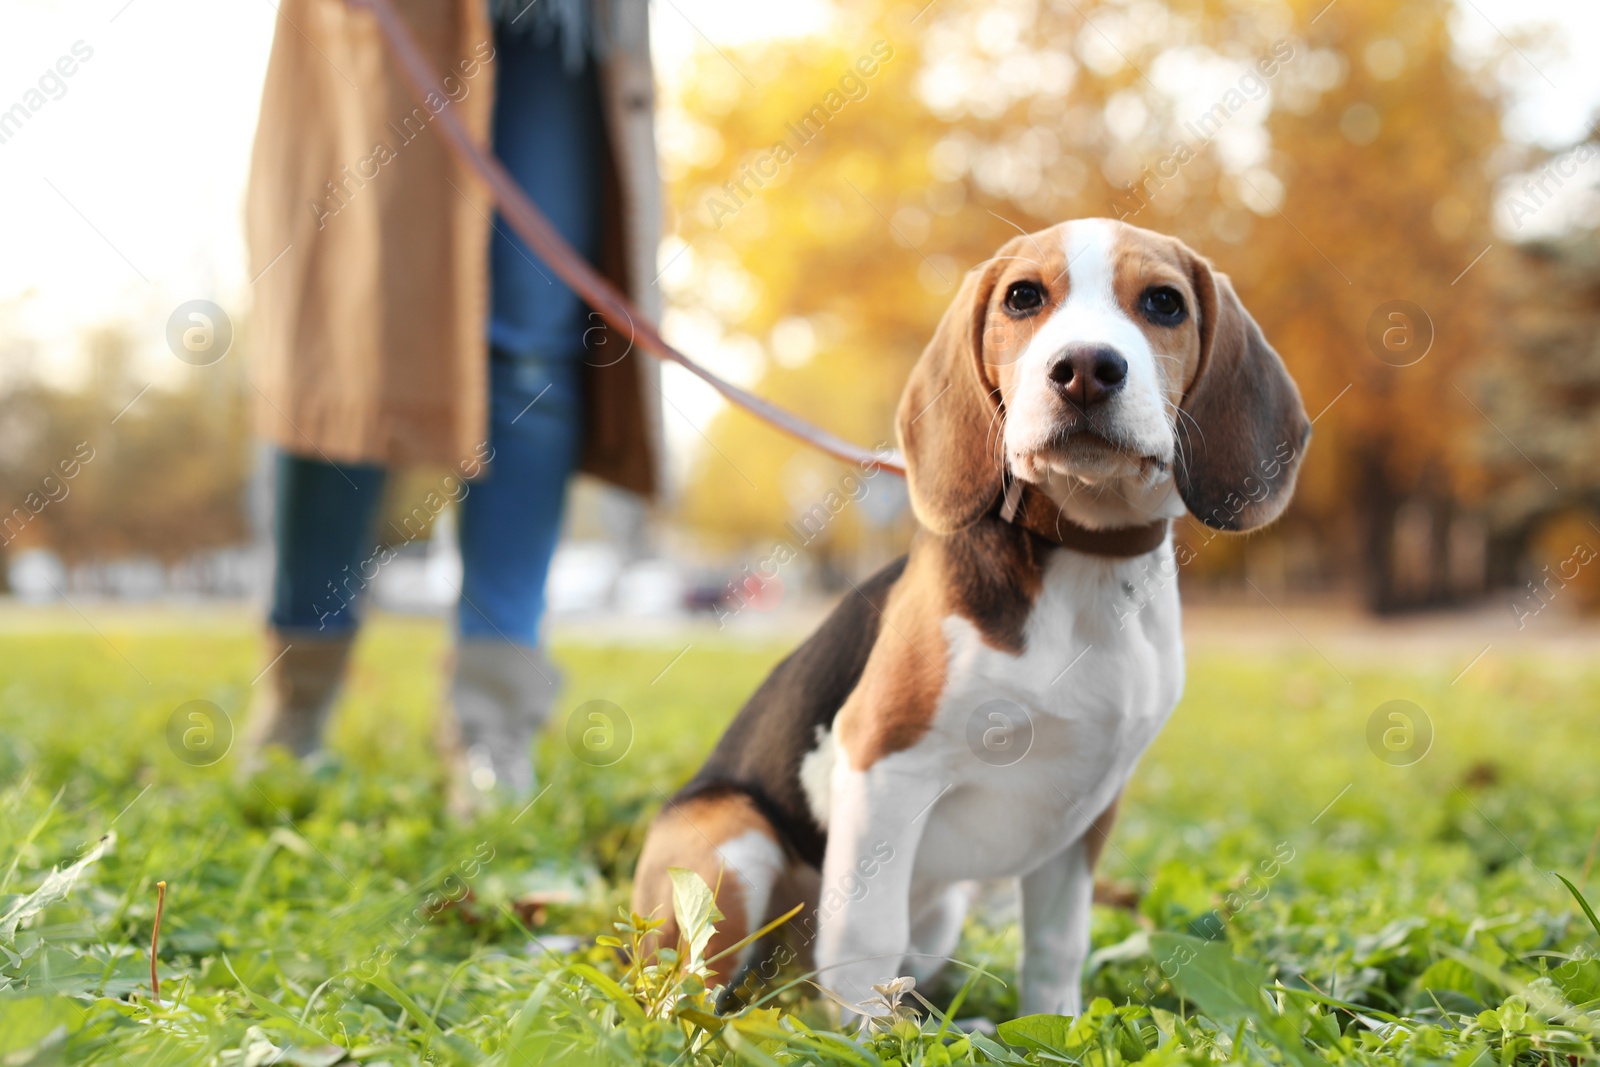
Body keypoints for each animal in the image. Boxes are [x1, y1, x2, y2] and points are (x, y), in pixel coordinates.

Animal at [630, 214, 1305, 1017]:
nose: (1085, 367)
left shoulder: (1086, 812)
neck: (1084, 554)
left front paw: (1053, 1027)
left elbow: (1056, 945)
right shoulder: (884, 762)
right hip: (731, 840)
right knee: (689, 991)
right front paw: (868, 1036)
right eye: (1023, 297)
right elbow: (865, 940)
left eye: (1165, 303)